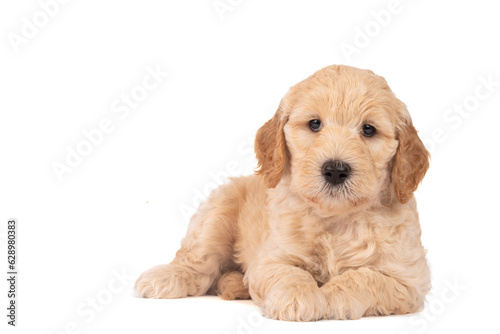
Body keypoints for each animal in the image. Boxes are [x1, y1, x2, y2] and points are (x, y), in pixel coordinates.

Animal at [134, 64, 430, 320]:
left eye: (369, 129)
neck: (335, 218)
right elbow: (290, 274)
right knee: (197, 263)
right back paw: (165, 277)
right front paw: (298, 299)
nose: (335, 170)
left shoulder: (407, 281)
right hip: (217, 210)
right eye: (314, 124)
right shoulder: (271, 258)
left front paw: (330, 297)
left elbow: (364, 278)